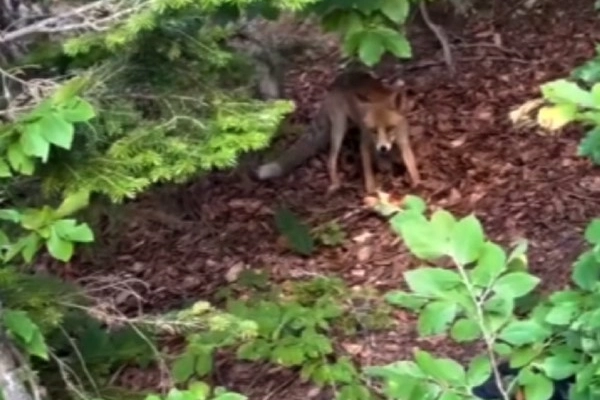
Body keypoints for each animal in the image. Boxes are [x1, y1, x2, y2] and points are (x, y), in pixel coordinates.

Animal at [254, 69, 422, 195]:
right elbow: (367, 170)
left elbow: (411, 163)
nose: (383, 147)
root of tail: (335, 84)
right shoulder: (365, 142)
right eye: (373, 130)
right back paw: (335, 183)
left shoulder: (403, 141)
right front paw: (371, 190)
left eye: (390, 128)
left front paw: (416, 182)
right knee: (331, 160)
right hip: (339, 128)